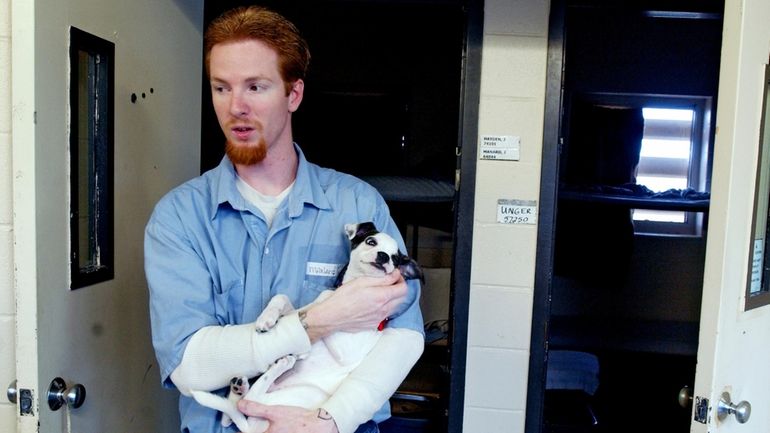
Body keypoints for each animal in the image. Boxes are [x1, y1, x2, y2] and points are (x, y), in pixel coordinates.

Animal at [190, 221, 420, 430]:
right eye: (371, 241)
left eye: (395, 259)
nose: (384, 256)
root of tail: (253, 429)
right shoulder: (301, 310)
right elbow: (284, 299)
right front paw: (267, 318)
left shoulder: (347, 351)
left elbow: (326, 304)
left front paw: (301, 348)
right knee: (230, 415)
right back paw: (240, 387)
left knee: (248, 403)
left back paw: (280, 366)